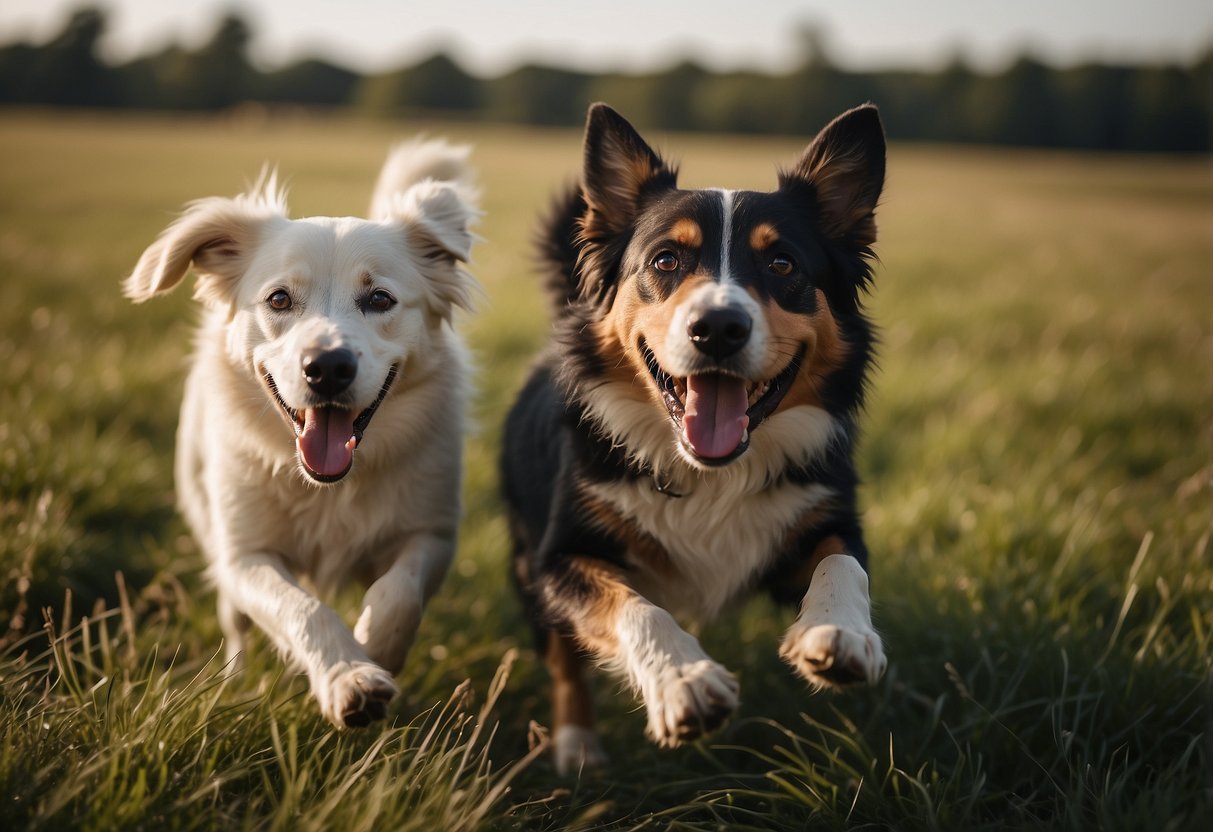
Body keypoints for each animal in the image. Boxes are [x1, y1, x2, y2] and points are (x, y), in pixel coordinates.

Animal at [125, 140, 477, 727]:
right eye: (279, 300)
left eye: (380, 299)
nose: (328, 367)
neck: (329, 486)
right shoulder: (245, 556)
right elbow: (303, 609)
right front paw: (350, 676)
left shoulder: (432, 532)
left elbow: (399, 592)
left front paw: (375, 648)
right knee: (237, 625)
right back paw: (234, 680)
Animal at [502, 102, 892, 776]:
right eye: (665, 261)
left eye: (783, 264)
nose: (717, 328)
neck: (710, 472)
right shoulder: (558, 556)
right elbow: (633, 607)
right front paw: (683, 680)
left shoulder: (827, 514)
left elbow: (843, 562)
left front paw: (839, 633)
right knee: (564, 657)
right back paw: (578, 745)